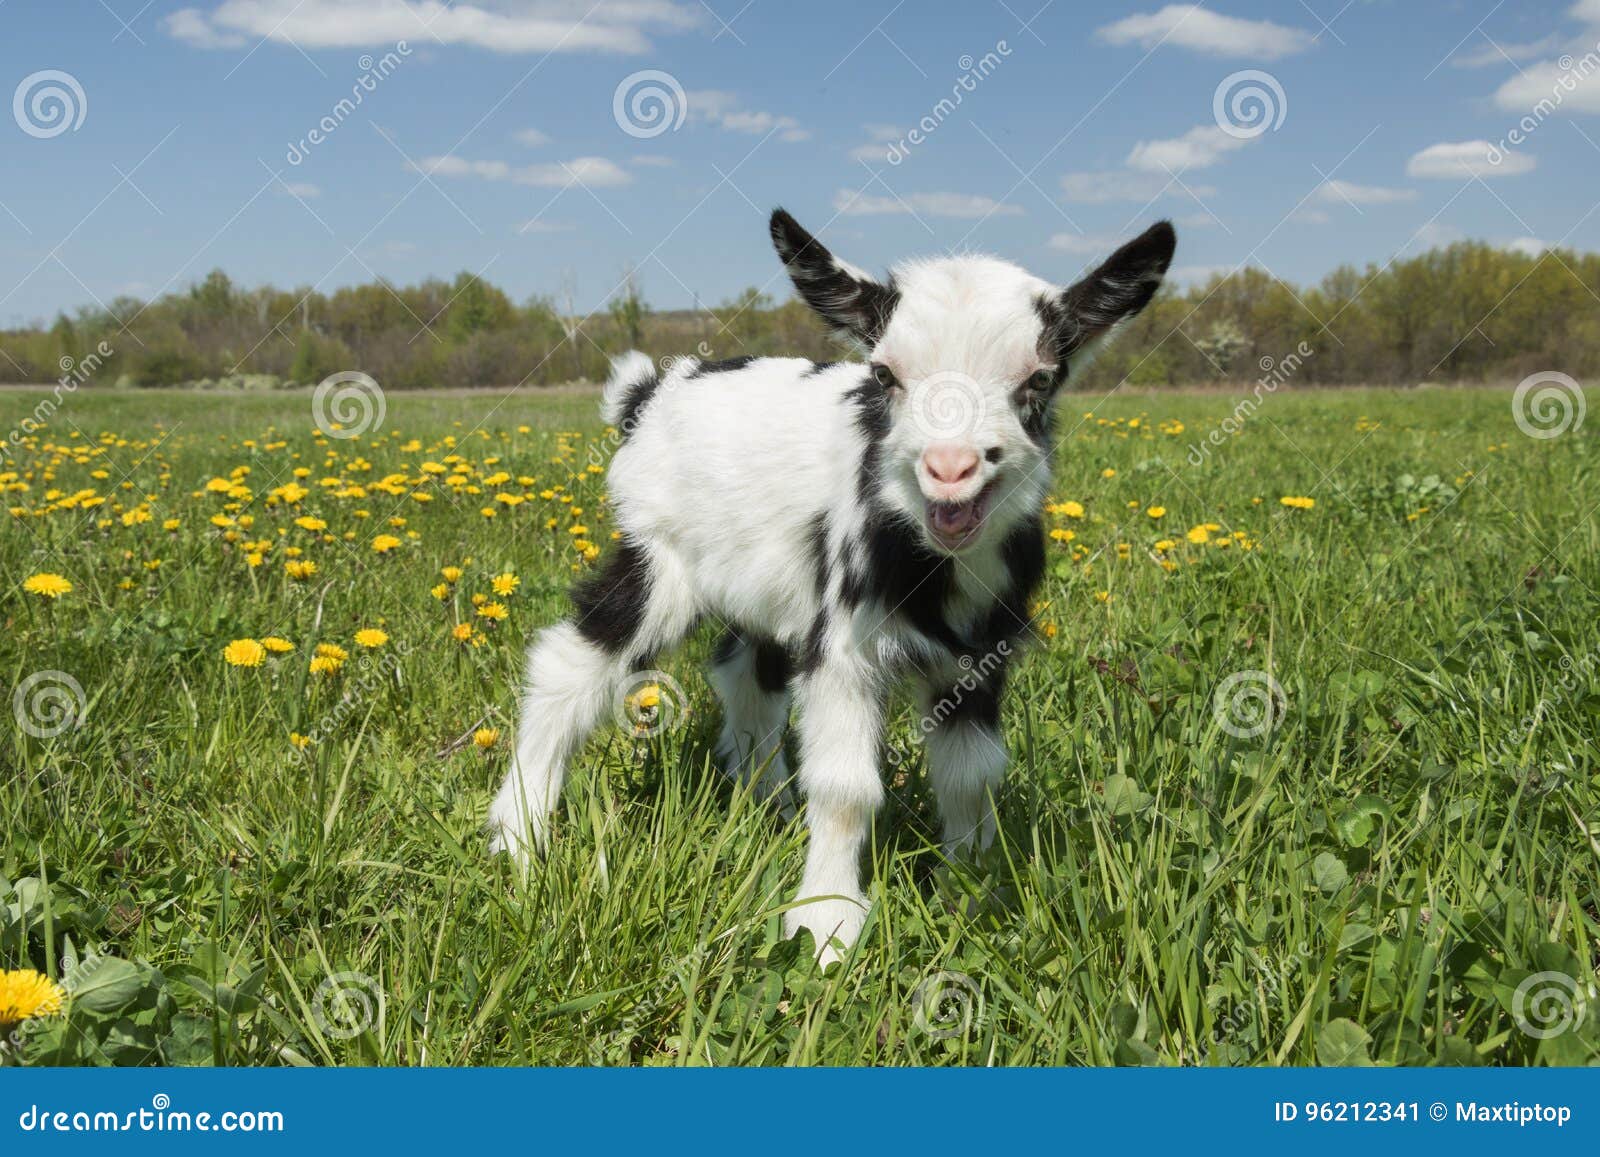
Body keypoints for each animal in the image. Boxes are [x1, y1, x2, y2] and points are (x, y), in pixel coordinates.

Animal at [486, 209, 1176, 962]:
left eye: (1041, 379)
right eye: (885, 374)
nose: (951, 467)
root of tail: (650, 393)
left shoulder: (978, 653)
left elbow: (972, 773)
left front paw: (972, 891)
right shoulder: (845, 644)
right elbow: (847, 786)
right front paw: (826, 927)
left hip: (767, 583)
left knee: (745, 677)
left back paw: (771, 808)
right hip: (658, 555)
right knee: (570, 663)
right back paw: (519, 837)